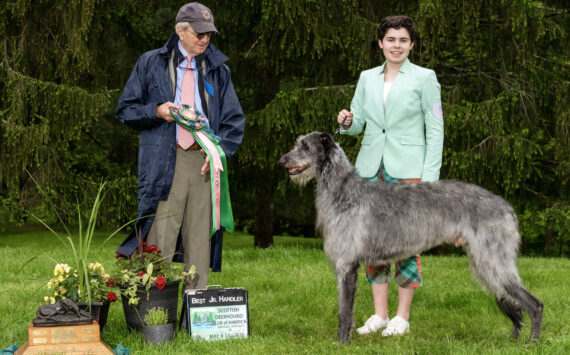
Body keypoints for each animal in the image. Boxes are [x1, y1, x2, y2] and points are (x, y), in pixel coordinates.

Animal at [280, 133, 540, 344]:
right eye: (297, 143)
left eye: (304, 146)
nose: (282, 161)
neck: (342, 190)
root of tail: (507, 208)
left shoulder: (346, 266)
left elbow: (345, 310)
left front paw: (342, 342)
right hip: (486, 261)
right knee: (514, 302)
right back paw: (514, 338)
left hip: (492, 260)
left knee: (533, 303)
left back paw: (533, 341)